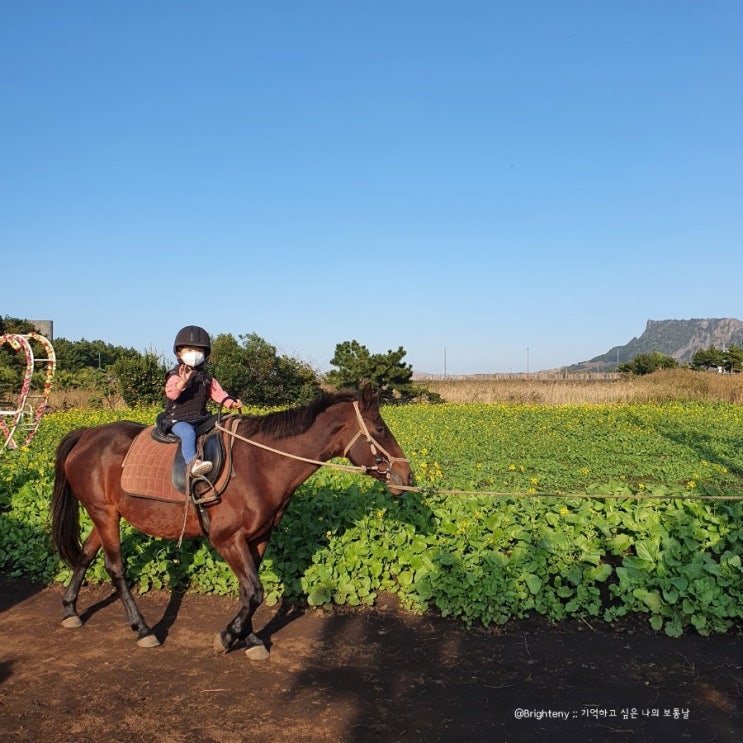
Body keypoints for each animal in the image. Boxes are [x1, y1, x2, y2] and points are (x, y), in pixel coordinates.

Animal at [52, 386, 412, 660]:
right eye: (380, 430)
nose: (407, 476)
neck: (261, 465)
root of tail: (87, 435)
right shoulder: (227, 539)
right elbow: (254, 592)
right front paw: (228, 636)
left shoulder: (258, 538)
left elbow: (247, 591)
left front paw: (248, 638)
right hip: (104, 514)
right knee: (116, 569)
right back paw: (142, 629)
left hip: (104, 515)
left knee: (85, 555)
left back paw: (70, 610)